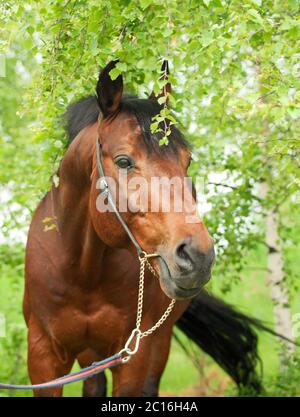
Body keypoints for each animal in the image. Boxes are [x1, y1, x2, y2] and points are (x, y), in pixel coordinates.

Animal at [22, 60, 262, 394]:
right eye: (124, 161)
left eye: (187, 161)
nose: (198, 256)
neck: (83, 273)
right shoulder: (44, 358)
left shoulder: (133, 355)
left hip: (156, 343)